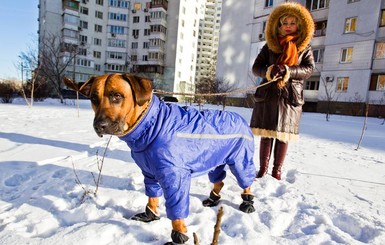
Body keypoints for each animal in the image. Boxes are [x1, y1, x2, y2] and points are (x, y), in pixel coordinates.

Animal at [63, 73, 255, 244]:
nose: (99, 125)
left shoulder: (174, 176)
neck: (152, 125)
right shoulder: (149, 171)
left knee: (246, 180)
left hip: (240, 159)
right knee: (219, 180)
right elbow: (152, 194)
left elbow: (176, 208)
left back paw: (247, 202)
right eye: (94, 98)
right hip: (213, 160)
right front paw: (150, 215)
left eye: (117, 96)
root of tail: (240, 117)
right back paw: (213, 198)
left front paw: (178, 235)